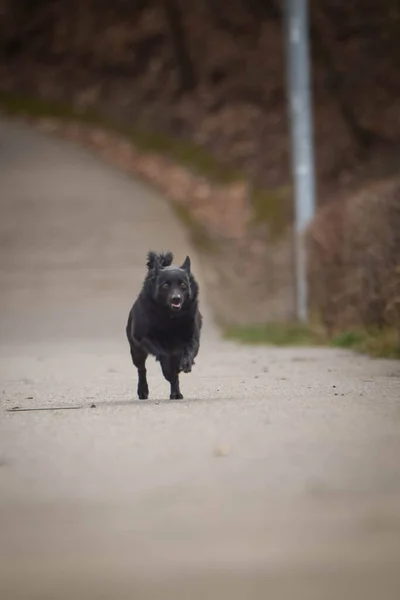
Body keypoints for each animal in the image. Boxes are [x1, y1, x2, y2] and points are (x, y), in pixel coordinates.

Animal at [126, 251, 202, 400]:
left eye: (183, 285)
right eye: (166, 285)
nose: (176, 298)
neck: (170, 318)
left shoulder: (192, 337)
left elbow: (189, 350)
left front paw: (186, 363)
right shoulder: (145, 337)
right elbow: (162, 354)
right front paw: (167, 368)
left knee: (175, 376)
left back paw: (176, 393)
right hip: (136, 352)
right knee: (142, 369)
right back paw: (143, 391)